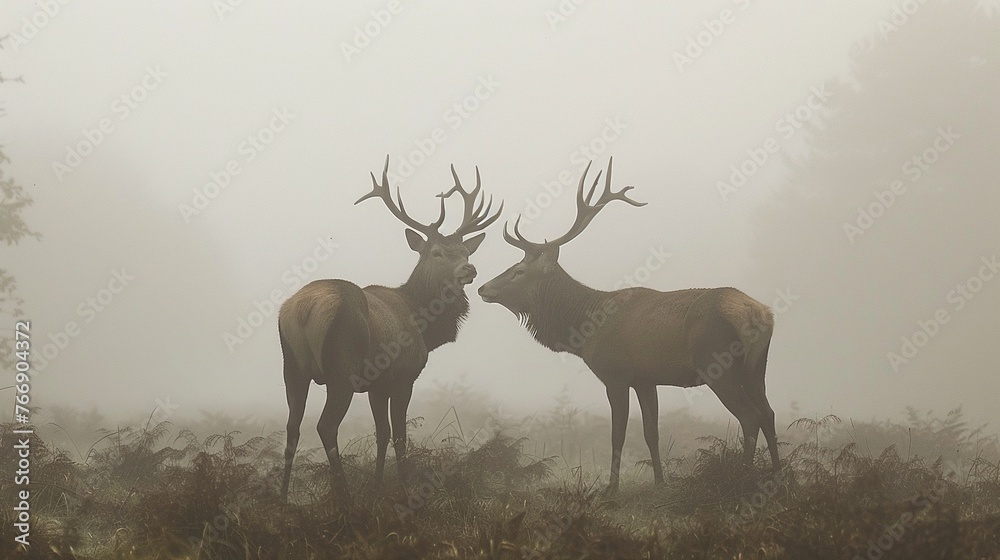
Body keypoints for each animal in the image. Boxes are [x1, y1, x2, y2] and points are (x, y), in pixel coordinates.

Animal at [278, 156, 502, 502]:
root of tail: (304, 309)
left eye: (466, 251)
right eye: (436, 252)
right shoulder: (403, 376)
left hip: (292, 367)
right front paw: (405, 490)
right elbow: (399, 435)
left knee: (292, 427)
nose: (469, 269)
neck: (423, 324)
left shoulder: (377, 384)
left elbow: (381, 433)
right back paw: (344, 498)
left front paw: (378, 486)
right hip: (341, 369)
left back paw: (281, 499)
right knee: (326, 426)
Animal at [477, 158, 778, 493]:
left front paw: (611, 488)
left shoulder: (615, 374)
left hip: (718, 364)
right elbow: (651, 432)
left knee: (750, 417)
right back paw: (780, 475)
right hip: (757, 367)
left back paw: (744, 478)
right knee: (769, 413)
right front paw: (660, 483)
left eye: (518, 271)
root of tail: (759, 314)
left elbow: (617, 434)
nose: (482, 288)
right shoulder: (646, 379)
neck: (584, 329)